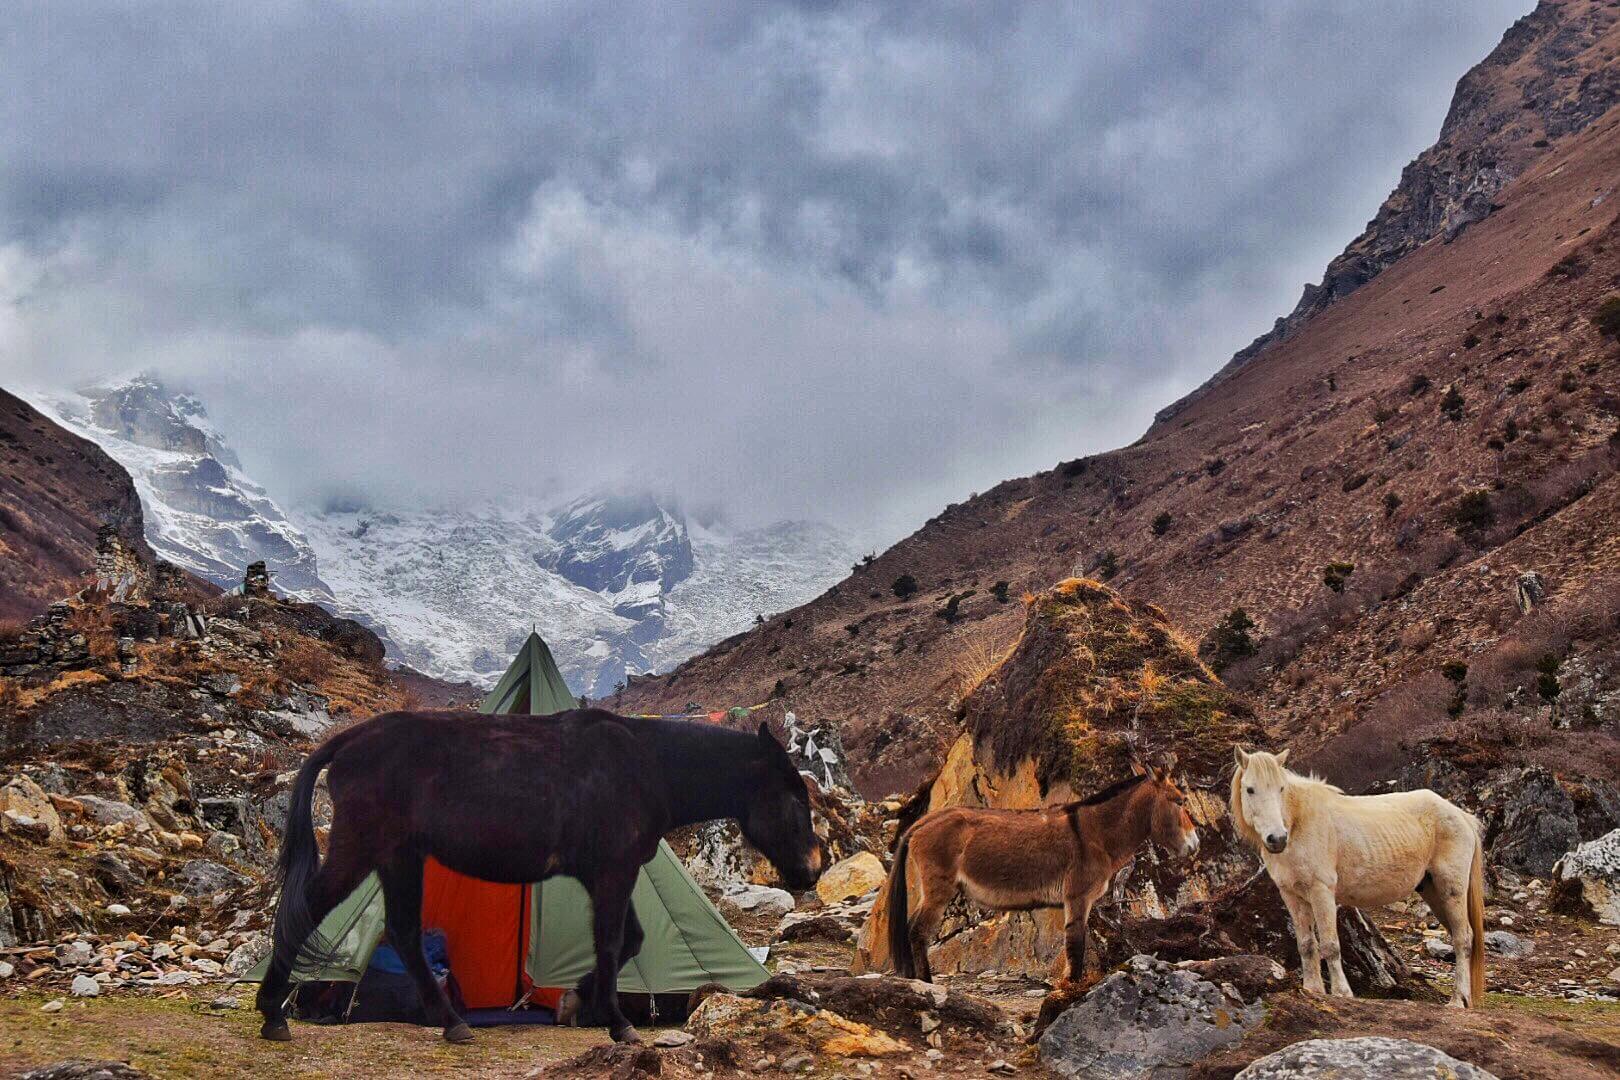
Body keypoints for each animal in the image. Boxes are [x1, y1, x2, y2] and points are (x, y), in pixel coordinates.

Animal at [260, 709, 835, 1049]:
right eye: (793, 796)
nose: (812, 868)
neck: (646, 763)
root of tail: (349, 741)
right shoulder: (614, 871)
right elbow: (612, 943)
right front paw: (618, 1023)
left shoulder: (608, 875)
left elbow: (629, 941)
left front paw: (579, 999)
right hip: (363, 850)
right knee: (308, 911)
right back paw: (273, 1014)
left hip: (399, 858)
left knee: (401, 933)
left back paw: (452, 1023)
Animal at [1224, 751, 1483, 1003]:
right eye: (1250, 789)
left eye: (1281, 788)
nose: (1277, 839)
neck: (1299, 823)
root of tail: (1460, 815)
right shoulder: (1292, 896)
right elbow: (1306, 945)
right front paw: (1313, 990)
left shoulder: (1321, 892)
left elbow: (1330, 945)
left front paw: (1341, 993)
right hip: (1433, 892)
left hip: (1451, 891)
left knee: (1462, 938)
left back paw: (1458, 1000)